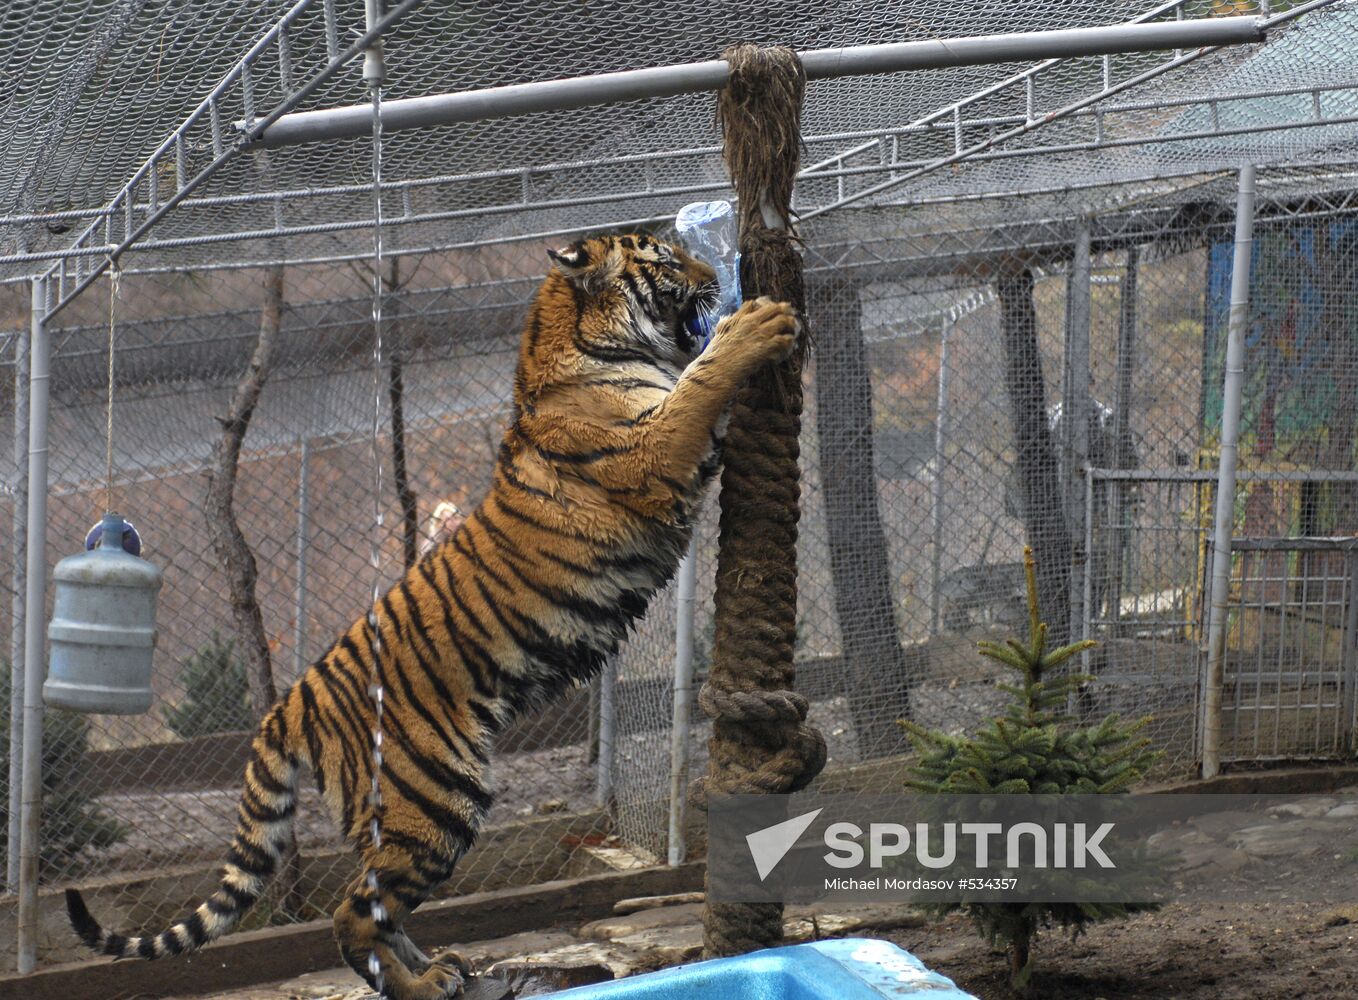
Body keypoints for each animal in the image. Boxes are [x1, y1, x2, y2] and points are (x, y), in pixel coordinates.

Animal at [63, 232, 798, 1000]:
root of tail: (290, 702)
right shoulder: (654, 449)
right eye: (664, 259)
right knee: (353, 913)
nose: (712, 273)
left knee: (377, 906)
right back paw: (419, 985)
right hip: (433, 796)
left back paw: (439, 969)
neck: (580, 349)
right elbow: (700, 381)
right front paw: (757, 324)